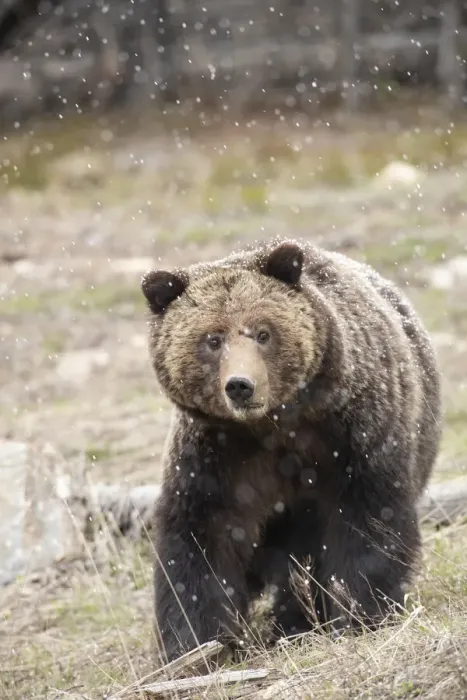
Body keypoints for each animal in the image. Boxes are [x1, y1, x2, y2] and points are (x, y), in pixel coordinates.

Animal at [141, 237, 442, 663]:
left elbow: (367, 522)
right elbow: (199, 543)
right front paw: (195, 647)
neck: (273, 426)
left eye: (263, 333)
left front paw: (360, 614)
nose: (240, 385)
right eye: (212, 339)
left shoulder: (352, 438)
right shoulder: (215, 457)